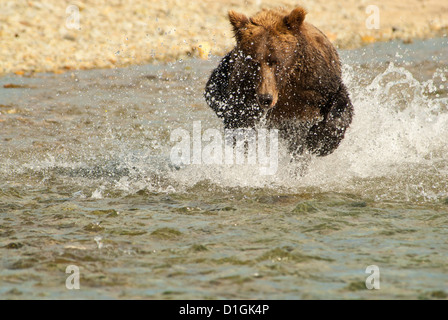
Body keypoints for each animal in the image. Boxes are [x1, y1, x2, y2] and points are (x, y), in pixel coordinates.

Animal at [203, 6, 354, 157]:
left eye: (275, 61)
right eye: (254, 62)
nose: (265, 98)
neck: (285, 83)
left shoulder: (317, 81)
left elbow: (340, 103)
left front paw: (320, 141)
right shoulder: (239, 83)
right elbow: (233, 111)